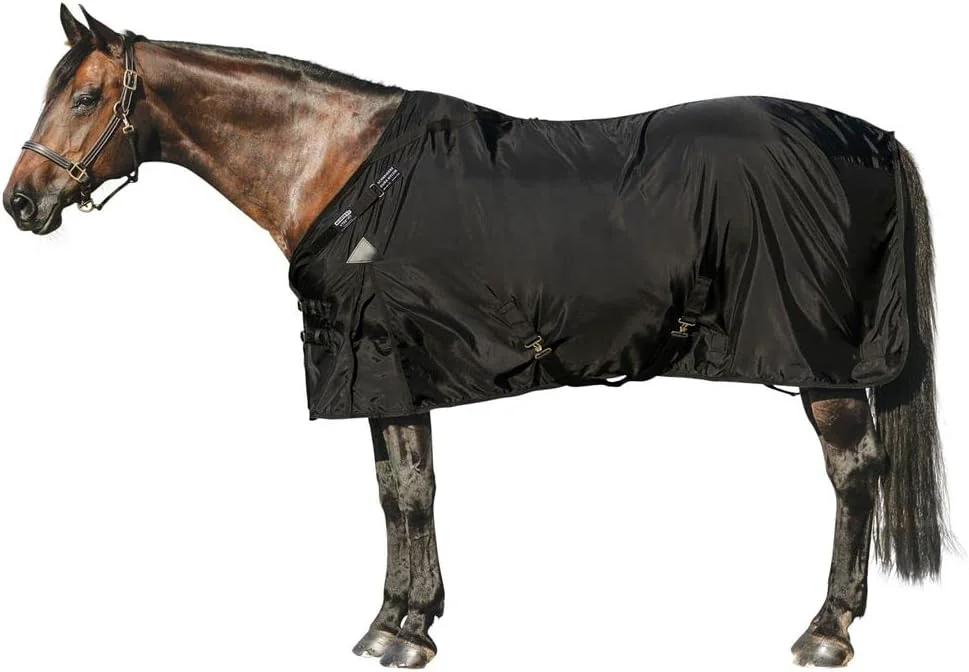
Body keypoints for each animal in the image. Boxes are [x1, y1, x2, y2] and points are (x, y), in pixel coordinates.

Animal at [3, 6, 953, 669]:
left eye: (83, 96)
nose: (21, 202)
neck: (344, 168)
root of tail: (871, 137)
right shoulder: (384, 376)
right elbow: (397, 490)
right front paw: (402, 616)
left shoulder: (384, 362)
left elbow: (409, 494)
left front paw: (400, 632)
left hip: (824, 368)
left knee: (853, 471)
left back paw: (825, 630)